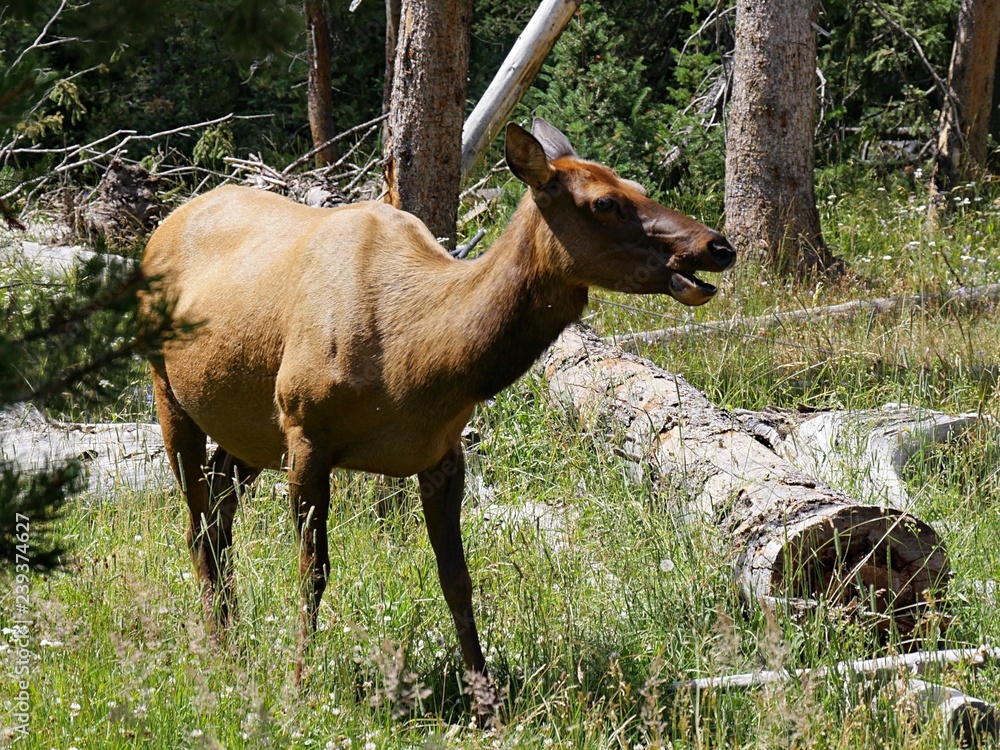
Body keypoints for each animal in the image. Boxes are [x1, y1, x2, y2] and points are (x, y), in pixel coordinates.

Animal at [139, 118, 735, 706]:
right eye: (604, 203)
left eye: (638, 186)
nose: (719, 245)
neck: (419, 361)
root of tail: (162, 227)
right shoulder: (306, 431)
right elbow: (314, 571)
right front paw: (298, 684)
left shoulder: (443, 453)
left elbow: (457, 579)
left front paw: (486, 702)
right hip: (172, 392)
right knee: (197, 522)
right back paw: (217, 645)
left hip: (251, 433)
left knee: (218, 508)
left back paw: (232, 635)